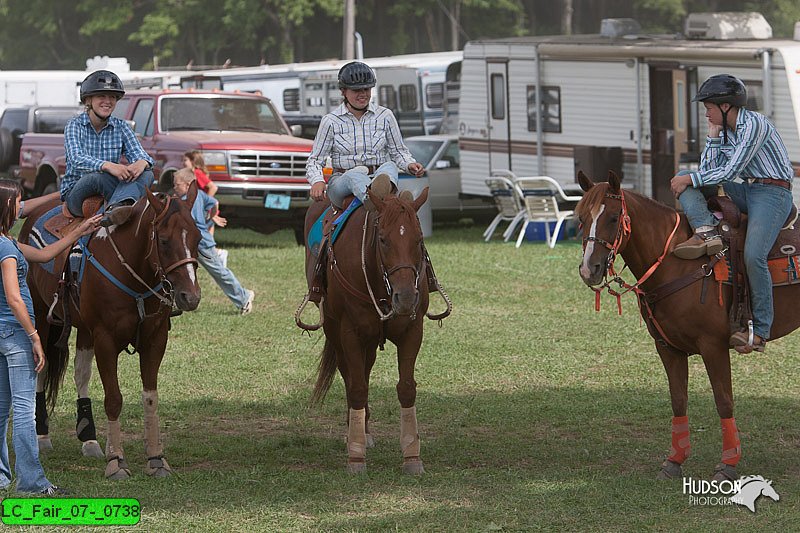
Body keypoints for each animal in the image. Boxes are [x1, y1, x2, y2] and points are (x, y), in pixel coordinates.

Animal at [18, 185, 202, 480]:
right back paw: (42, 436)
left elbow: (150, 398)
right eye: (163, 240)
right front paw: (116, 461)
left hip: (84, 328)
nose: (191, 296)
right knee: (42, 368)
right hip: (40, 314)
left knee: (81, 373)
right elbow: (114, 399)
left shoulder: (155, 339)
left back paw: (90, 438)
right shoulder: (105, 339)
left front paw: (156, 458)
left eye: (198, 237)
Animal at [580, 171, 800, 482]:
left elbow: (724, 401)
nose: (589, 269)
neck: (675, 261)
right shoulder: (667, 347)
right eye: (580, 218)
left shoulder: (713, 346)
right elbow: (678, 400)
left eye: (612, 217)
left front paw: (728, 465)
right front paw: (674, 460)